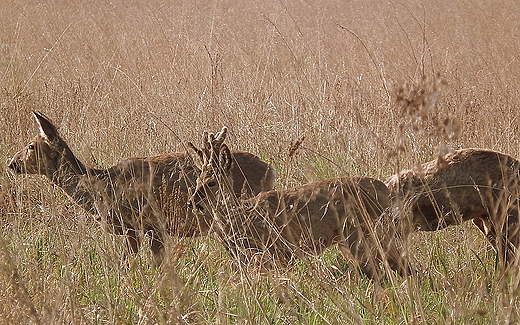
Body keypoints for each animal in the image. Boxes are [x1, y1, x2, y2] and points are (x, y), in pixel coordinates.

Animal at [187, 128, 410, 280]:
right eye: (196, 181)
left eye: (211, 182)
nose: (192, 202)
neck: (242, 214)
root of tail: (386, 191)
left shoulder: (278, 253)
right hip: (373, 236)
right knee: (405, 267)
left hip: (359, 235)